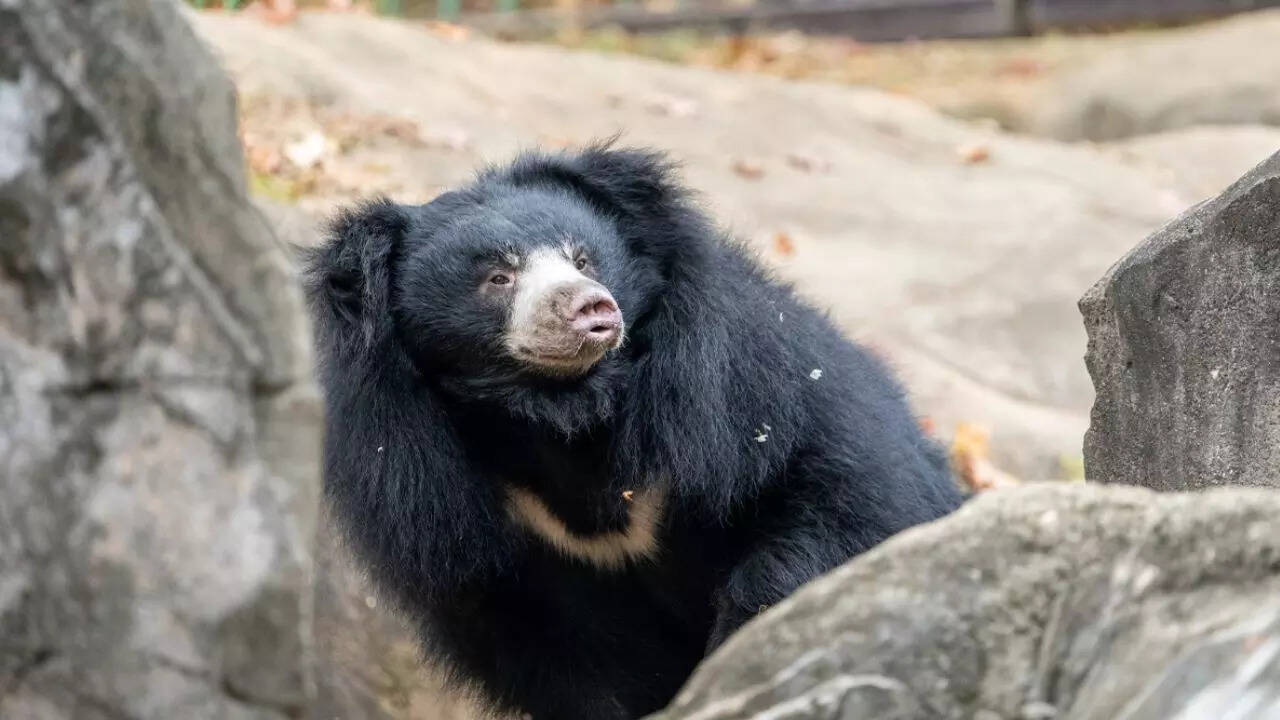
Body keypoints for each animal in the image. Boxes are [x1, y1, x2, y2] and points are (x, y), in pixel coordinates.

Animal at [303, 143, 963, 720]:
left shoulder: (744, 393)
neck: (565, 417)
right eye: (497, 278)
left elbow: (841, 509)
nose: (590, 308)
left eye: (583, 258)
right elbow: (570, 662)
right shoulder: (445, 501)